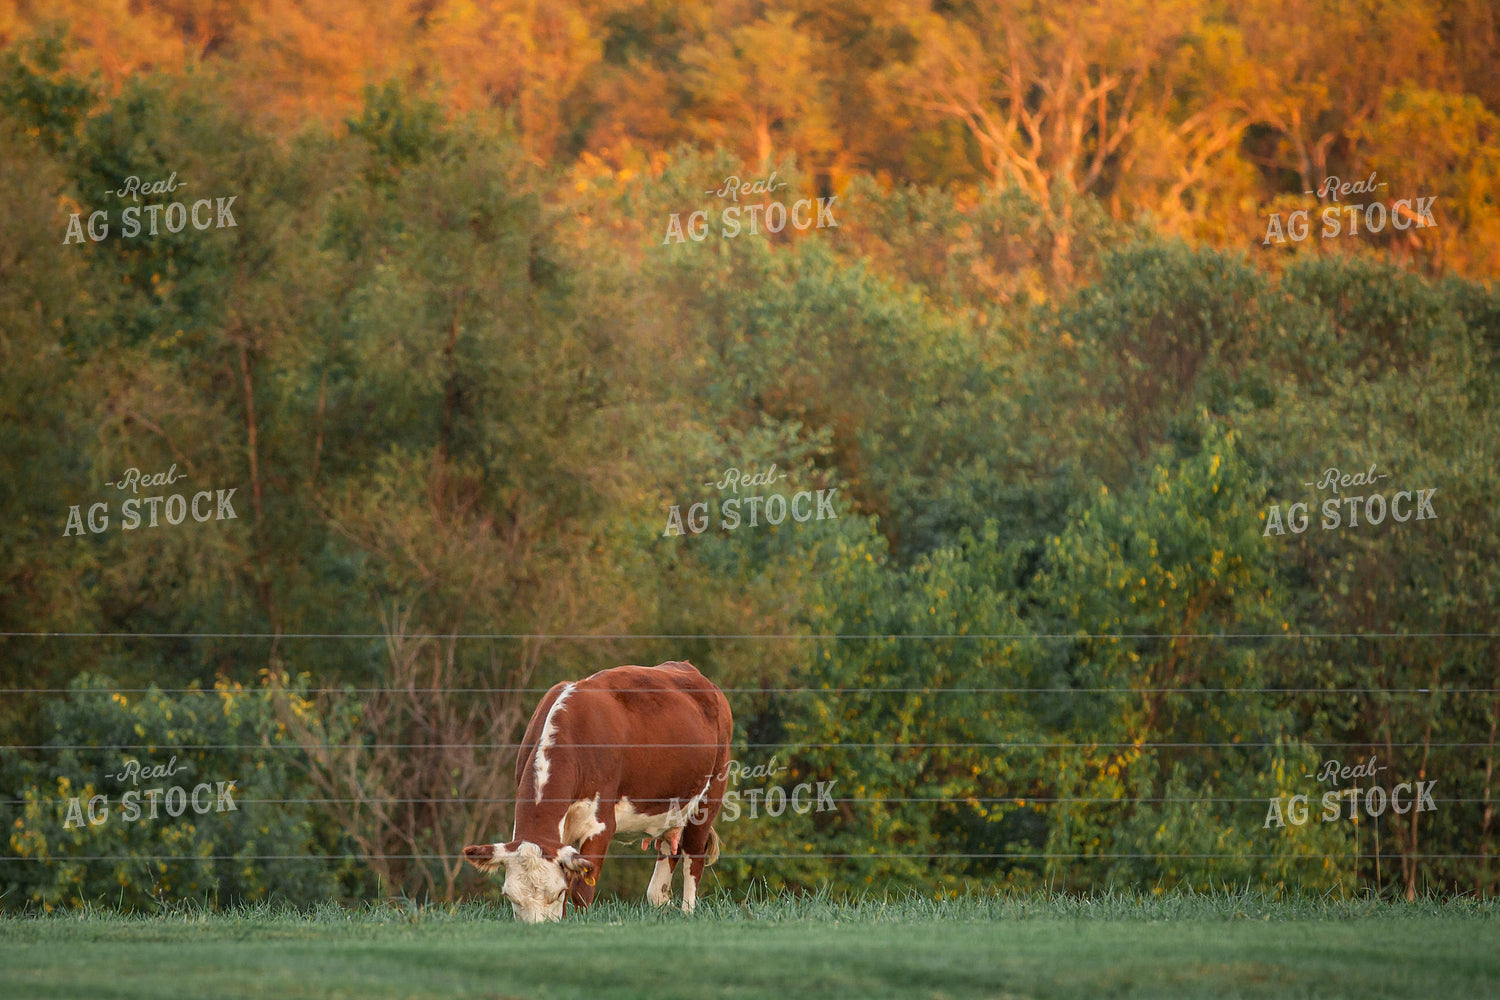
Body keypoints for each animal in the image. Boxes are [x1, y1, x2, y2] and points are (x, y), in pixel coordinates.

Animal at [462, 660, 732, 923]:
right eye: (510, 897)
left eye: (557, 892)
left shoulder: (600, 825)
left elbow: (582, 889)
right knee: (663, 872)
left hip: (709, 797)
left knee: (693, 860)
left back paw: (687, 912)